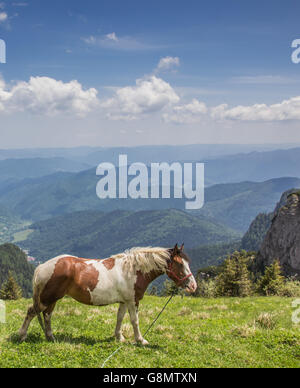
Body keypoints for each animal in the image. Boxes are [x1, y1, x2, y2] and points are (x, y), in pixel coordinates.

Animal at [18, 244, 197, 344]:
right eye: (179, 264)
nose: (193, 286)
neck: (133, 270)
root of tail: (42, 266)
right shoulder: (132, 301)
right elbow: (135, 321)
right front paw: (140, 340)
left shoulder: (124, 301)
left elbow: (120, 318)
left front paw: (119, 337)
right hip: (47, 298)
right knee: (32, 312)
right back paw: (22, 336)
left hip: (52, 299)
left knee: (47, 316)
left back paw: (50, 337)